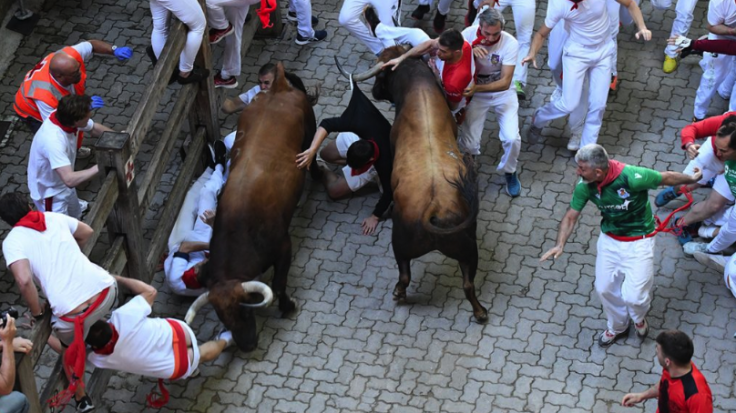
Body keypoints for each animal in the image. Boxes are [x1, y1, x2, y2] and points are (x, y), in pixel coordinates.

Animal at [185, 62, 320, 350]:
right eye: (220, 316)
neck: (240, 232)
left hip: (311, 129)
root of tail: (276, 87)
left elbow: (279, 284)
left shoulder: (284, 247)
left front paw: (288, 305)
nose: (246, 345)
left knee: (312, 155)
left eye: (245, 310)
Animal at [338, 45, 488, 322]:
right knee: (468, 284)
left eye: (381, 74)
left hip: (400, 244)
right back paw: (480, 312)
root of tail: (435, 208)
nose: (374, 91)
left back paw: (399, 293)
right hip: (469, 248)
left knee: (405, 275)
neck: (416, 83)